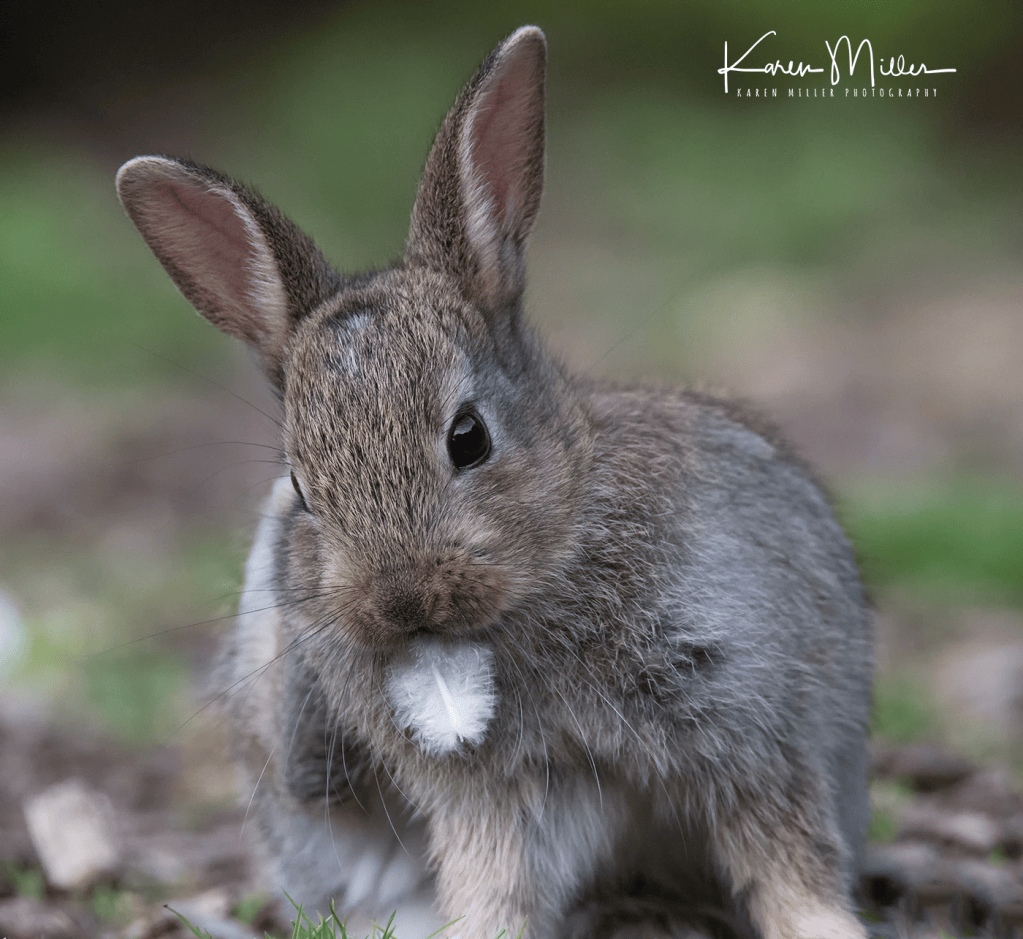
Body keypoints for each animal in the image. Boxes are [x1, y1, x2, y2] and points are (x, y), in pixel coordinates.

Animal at [115, 25, 873, 939]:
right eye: (300, 484)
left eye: (467, 438)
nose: (402, 599)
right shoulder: (495, 795)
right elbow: (496, 881)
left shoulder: (749, 729)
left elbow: (788, 857)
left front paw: (826, 927)